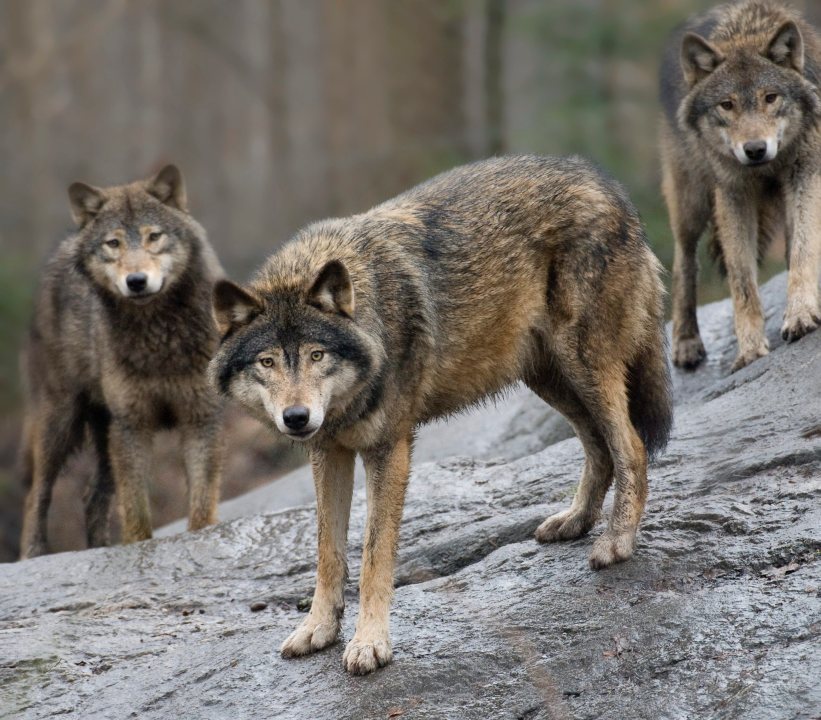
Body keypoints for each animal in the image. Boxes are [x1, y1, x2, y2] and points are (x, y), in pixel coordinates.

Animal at [19, 166, 224, 560]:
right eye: (113, 244)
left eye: (153, 237)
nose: (137, 281)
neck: (158, 338)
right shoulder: (133, 425)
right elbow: (135, 508)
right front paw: (138, 549)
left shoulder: (200, 418)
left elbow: (201, 502)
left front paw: (200, 540)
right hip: (61, 421)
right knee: (37, 493)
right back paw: (32, 555)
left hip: (103, 433)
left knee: (91, 495)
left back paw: (99, 548)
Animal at [210, 153, 672, 676]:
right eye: (267, 362)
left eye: (315, 355)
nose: (296, 417)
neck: (372, 314)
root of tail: (606, 184)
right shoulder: (328, 452)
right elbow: (328, 552)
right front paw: (319, 629)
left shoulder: (389, 450)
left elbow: (373, 556)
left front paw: (370, 643)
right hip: (548, 378)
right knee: (599, 447)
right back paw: (574, 521)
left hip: (584, 364)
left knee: (631, 446)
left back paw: (617, 543)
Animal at [660, 0, 820, 372]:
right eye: (727, 104)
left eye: (770, 98)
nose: (755, 149)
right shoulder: (732, 194)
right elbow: (742, 281)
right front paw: (749, 350)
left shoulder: (805, 172)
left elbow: (804, 249)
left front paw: (801, 314)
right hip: (691, 200)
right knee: (683, 260)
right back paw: (686, 343)